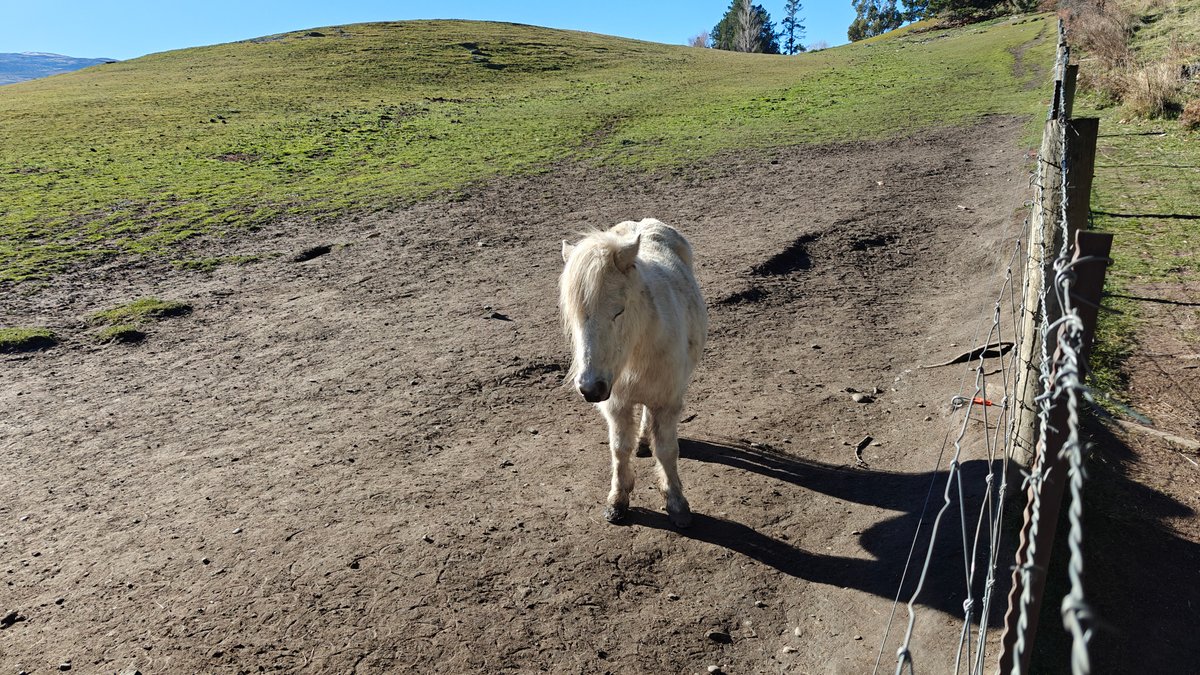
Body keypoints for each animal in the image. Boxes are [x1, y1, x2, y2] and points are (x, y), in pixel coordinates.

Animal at [558, 218, 707, 528]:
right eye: (577, 316)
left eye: (619, 311)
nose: (591, 388)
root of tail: (647, 222)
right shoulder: (616, 404)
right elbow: (619, 449)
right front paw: (617, 501)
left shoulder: (667, 400)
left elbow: (666, 450)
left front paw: (677, 504)